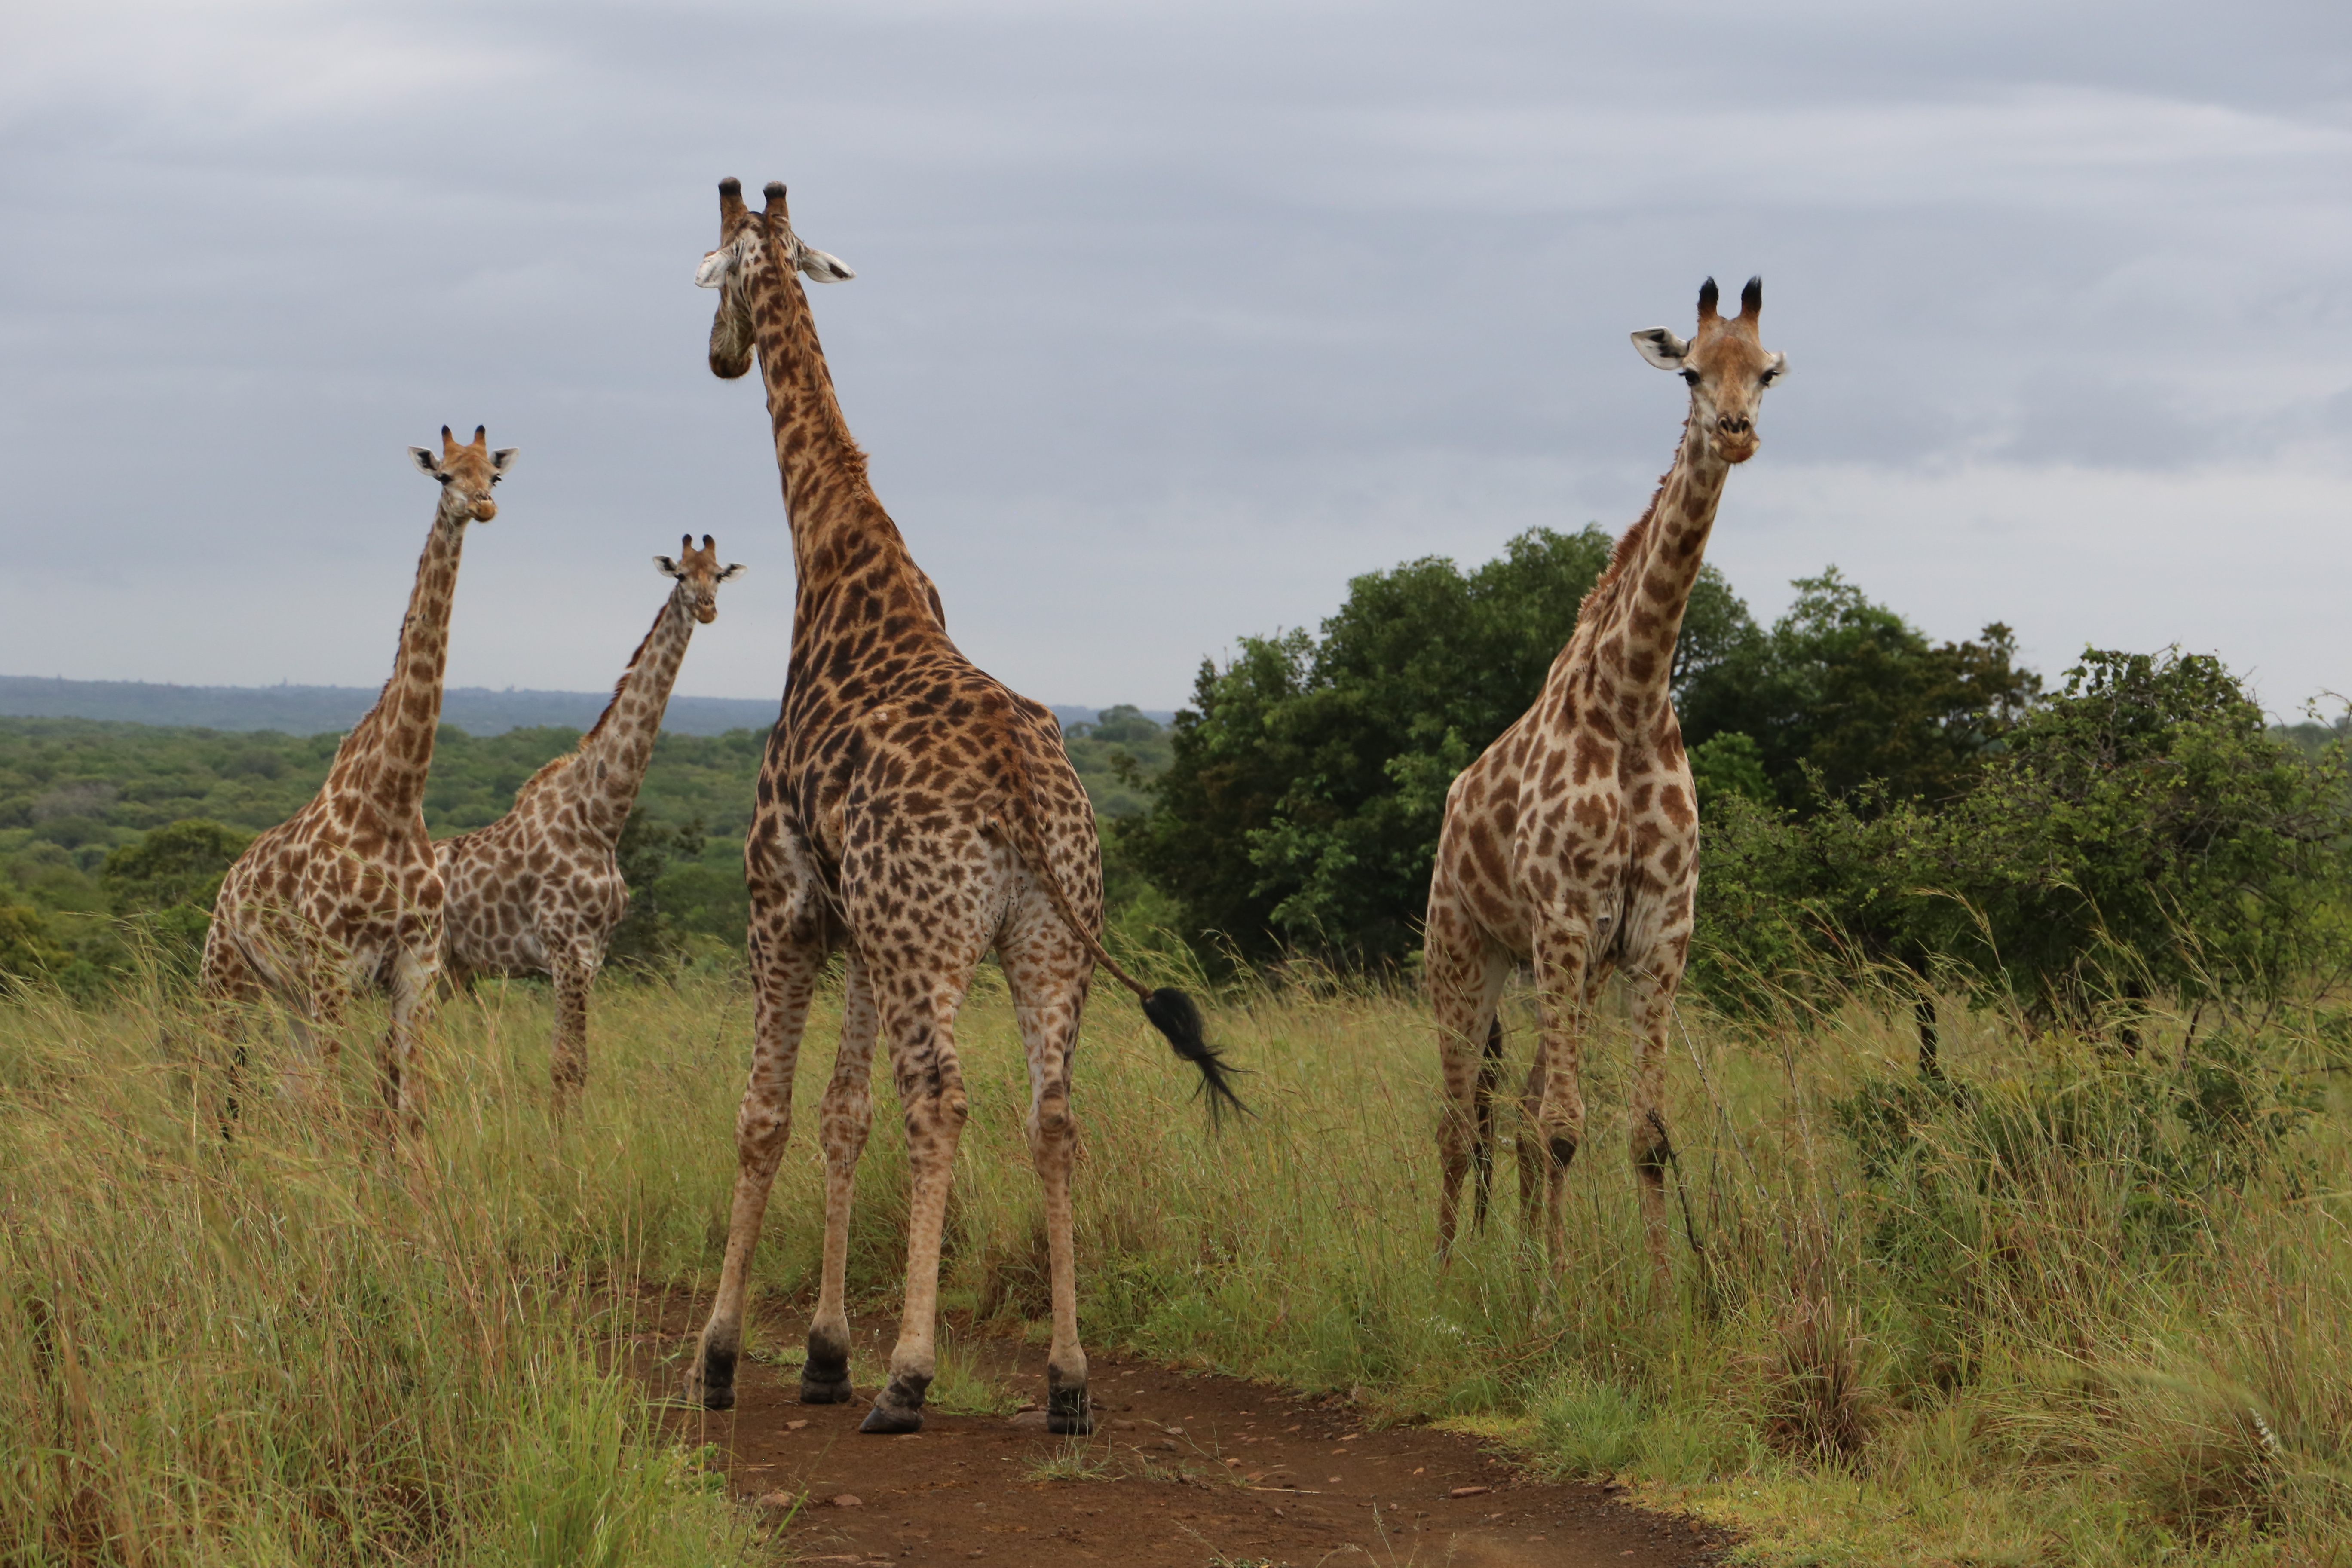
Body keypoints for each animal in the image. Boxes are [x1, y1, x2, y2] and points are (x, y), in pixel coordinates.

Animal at [201, 425, 517, 1137]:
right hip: (226, 978)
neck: (394, 801)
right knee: (219, 1089)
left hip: (290, 997)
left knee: (288, 1090)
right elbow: (335, 1105)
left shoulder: (417, 970)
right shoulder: (333, 965)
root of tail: (227, 884)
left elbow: (408, 1109)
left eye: (494, 475)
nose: (483, 507)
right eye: (443, 476)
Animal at [434, 534, 744, 1106]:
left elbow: (573, 1065)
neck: (600, 817)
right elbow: (567, 1066)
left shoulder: (591, 956)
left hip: (452, 968)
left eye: (717, 574)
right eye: (679, 575)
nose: (707, 608)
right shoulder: (567, 951)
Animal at [683, 178, 1241, 1437]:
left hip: (935, 938)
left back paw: (910, 1378)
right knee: (1055, 1113)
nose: (720, 358)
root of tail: (1018, 786)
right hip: (1040, 937)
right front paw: (824, 1355)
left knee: (942, 1101)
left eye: (714, 271)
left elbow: (764, 1115)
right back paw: (1068, 1383)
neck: (836, 572)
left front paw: (728, 1357)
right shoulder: (861, 930)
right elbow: (841, 1115)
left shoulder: (785, 909)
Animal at [1425, 278, 1784, 1292]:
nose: (1736, 431)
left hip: (1563, 971)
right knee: (1460, 1122)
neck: (1630, 701)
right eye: (1692, 371)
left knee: (1515, 1111)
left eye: (1769, 371)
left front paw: (1657, 1298)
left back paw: (1513, 1262)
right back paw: (1447, 1274)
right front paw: (1553, 1301)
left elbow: (1646, 1133)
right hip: (1463, 952)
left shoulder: (1659, 933)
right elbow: (1562, 1127)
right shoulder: (1563, 920)